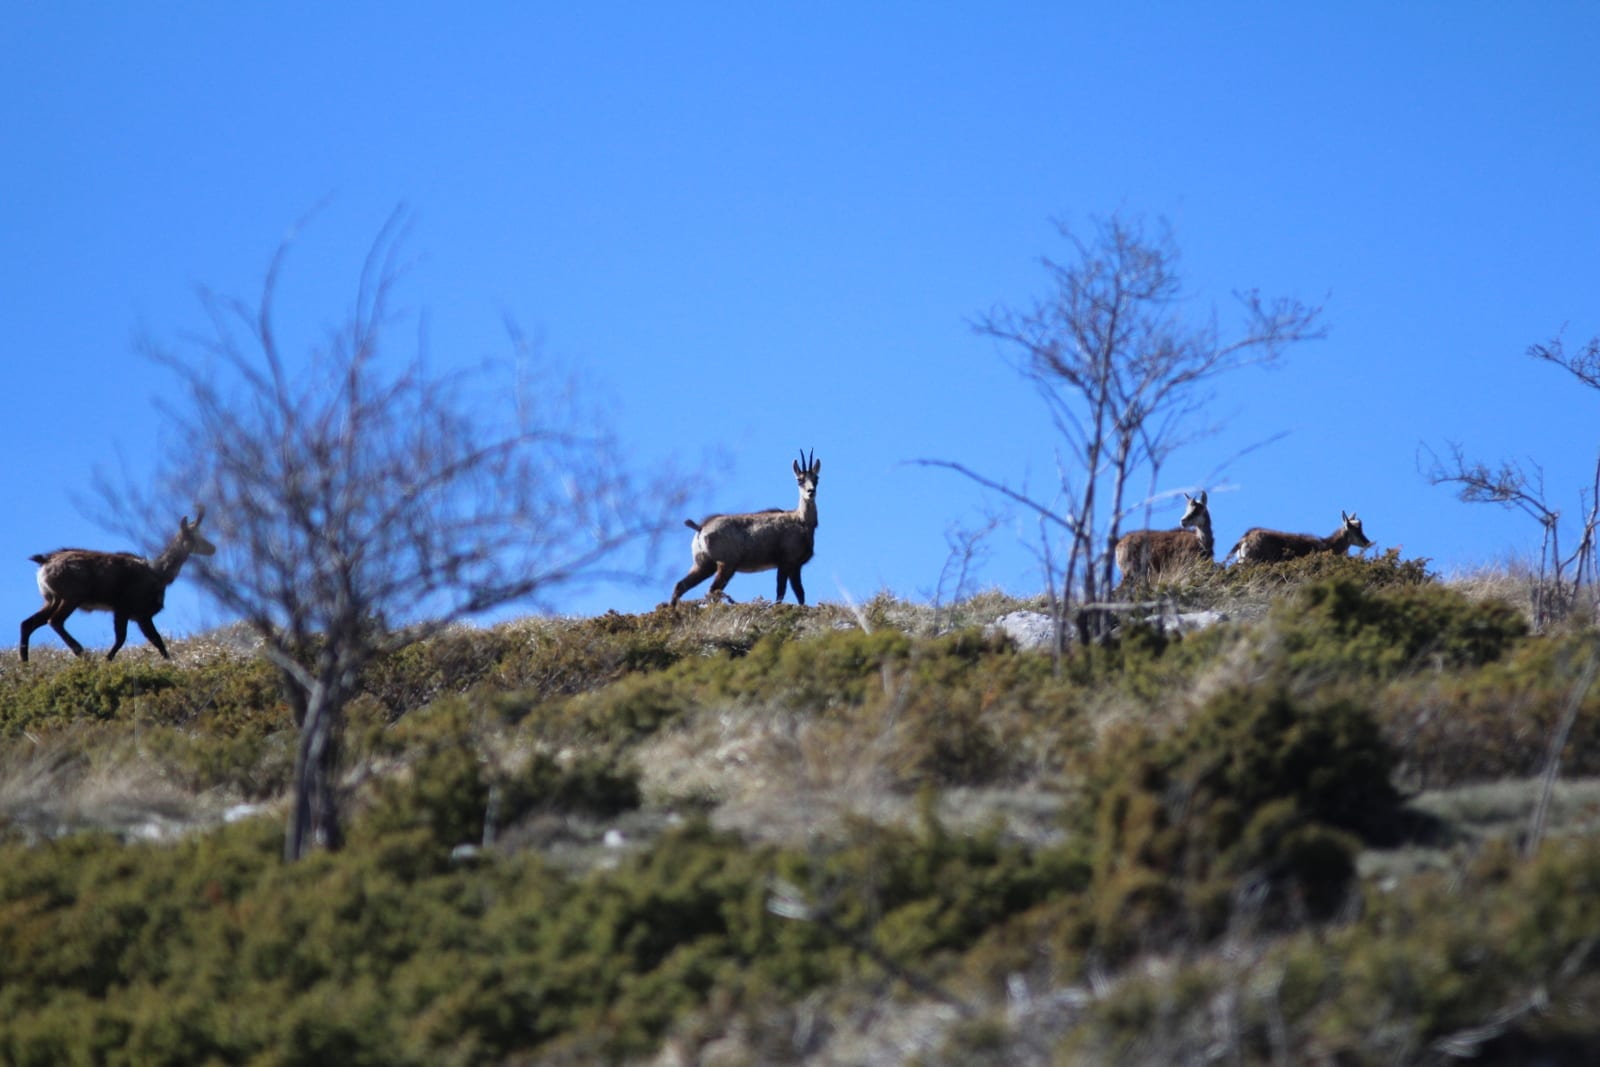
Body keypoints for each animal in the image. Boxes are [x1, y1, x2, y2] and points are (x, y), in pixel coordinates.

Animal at [20, 508, 216, 662]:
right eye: (195, 537)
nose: (213, 548)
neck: (158, 574)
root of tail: (44, 563)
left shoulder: (141, 615)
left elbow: (156, 640)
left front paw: (169, 661)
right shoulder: (124, 608)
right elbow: (122, 638)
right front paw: (107, 659)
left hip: (51, 598)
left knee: (28, 623)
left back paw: (25, 663)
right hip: (71, 596)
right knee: (54, 621)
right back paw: (82, 652)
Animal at [672, 450, 821, 607]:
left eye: (816, 478)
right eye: (799, 480)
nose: (811, 491)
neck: (802, 521)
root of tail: (701, 527)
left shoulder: (795, 566)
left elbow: (800, 594)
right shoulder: (786, 562)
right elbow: (781, 592)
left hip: (704, 564)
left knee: (681, 585)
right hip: (726, 564)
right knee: (712, 590)